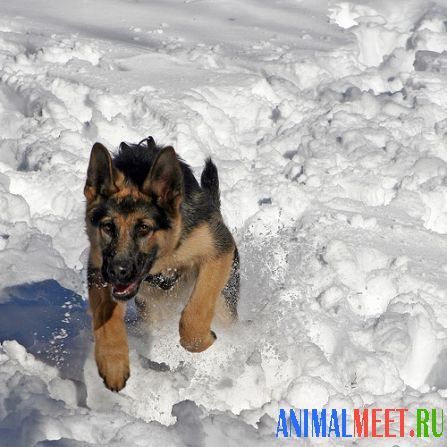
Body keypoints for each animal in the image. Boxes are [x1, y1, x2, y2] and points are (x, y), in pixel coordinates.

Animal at [82, 136, 240, 392]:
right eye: (107, 227)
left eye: (144, 228)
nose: (117, 272)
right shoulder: (98, 270)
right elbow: (107, 320)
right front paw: (113, 364)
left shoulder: (218, 250)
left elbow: (195, 311)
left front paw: (202, 340)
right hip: (151, 309)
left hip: (225, 302)